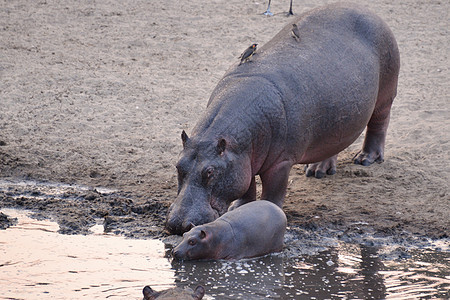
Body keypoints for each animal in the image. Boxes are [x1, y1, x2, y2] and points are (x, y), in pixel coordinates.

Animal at [165, 3, 398, 236]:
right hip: (339, 115)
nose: (177, 224)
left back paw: (366, 159)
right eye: (178, 166)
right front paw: (239, 208)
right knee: (336, 141)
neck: (234, 145)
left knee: (379, 123)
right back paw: (317, 171)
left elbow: (274, 190)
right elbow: (247, 186)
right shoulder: (244, 160)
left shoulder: (281, 161)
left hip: (385, 94)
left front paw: (267, 209)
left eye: (210, 172)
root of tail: (368, 11)